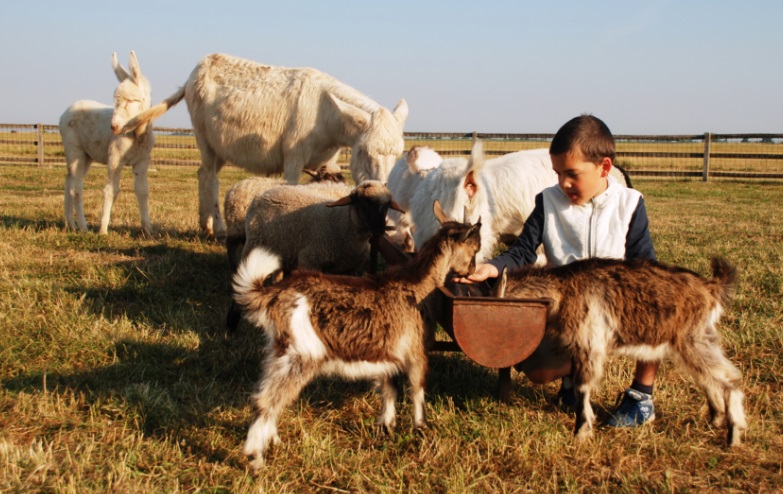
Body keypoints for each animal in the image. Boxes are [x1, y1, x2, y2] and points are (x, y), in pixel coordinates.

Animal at [60, 51, 154, 234]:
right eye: (115, 101)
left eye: (131, 100)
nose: (114, 127)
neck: (136, 135)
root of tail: (66, 111)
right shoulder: (115, 158)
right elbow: (112, 190)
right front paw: (103, 229)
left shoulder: (142, 161)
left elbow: (143, 191)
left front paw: (148, 230)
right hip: (74, 150)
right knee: (76, 188)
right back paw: (83, 227)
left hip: (86, 156)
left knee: (69, 182)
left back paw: (70, 224)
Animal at [230, 202, 480, 470]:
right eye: (475, 249)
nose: (472, 271)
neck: (416, 284)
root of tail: (274, 296)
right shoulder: (416, 352)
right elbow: (417, 389)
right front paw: (421, 427)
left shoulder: (387, 354)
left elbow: (389, 389)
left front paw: (386, 426)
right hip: (300, 356)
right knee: (265, 402)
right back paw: (255, 458)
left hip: (279, 353)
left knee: (268, 397)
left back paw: (273, 441)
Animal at [502, 256, 748, 446]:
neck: (562, 289)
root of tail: (710, 288)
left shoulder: (589, 343)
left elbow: (583, 388)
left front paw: (581, 430)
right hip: (698, 340)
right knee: (708, 378)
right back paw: (716, 418)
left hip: (691, 339)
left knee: (730, 379)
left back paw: (734, 433)